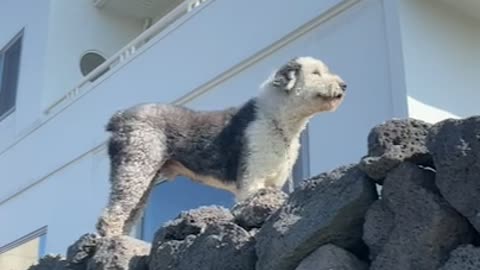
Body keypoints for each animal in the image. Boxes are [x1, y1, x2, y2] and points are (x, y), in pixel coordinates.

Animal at [96, 57, 344, 236]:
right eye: (315, 73)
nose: (344, 84)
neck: (273, 118)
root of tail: (119, 117)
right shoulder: (251, 179)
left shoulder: (274, 181)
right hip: (135, 164)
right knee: (113, 212)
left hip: (146, 174)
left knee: (131, 211)